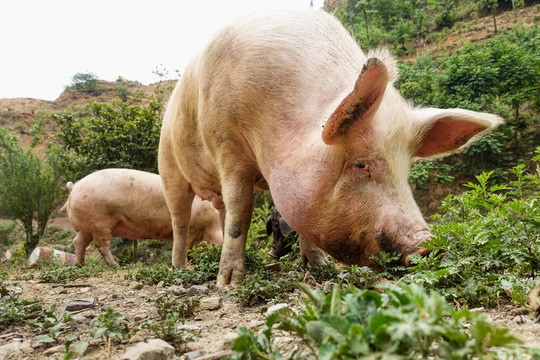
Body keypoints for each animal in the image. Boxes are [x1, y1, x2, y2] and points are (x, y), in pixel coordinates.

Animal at [62, 168, 221, 264]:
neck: (211, 226)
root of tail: (74, 187)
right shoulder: (192, 228)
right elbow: (185, 246)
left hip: (88, 226)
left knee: (79, 241)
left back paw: (80, 265)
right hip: (100, 221)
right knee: (101, 244)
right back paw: (115, 265)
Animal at [159, 9, 502, 286]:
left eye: (406, 169)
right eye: (361, 164)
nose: (428, 243)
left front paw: (318, 268)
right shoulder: (226, 141)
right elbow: (240, 211)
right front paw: (229, 283)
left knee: (220, 209)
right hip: (169, 170)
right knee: (181, 220)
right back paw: (180, 269)